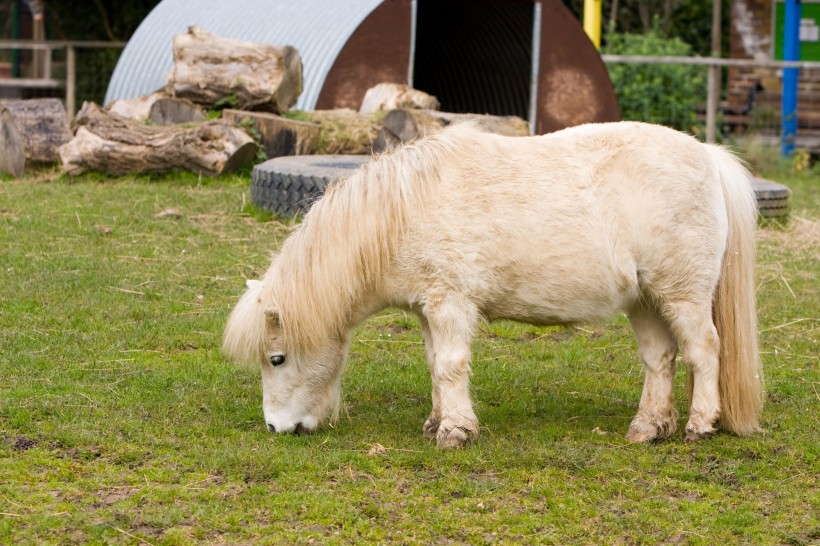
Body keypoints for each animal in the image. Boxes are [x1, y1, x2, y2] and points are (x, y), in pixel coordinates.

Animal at [223, 122, 764, 446]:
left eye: (277, 358)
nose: (275, 427)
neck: (402, 211)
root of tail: (708, 156)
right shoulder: (428, 310)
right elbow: (435, 365)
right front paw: (438, 421)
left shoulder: (450, 305)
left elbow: (451, 366)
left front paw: (455, 431)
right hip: (646, 300)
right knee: (660, 359)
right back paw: (647, 428)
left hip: (683, 295)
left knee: (704, 351)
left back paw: (699, 425)